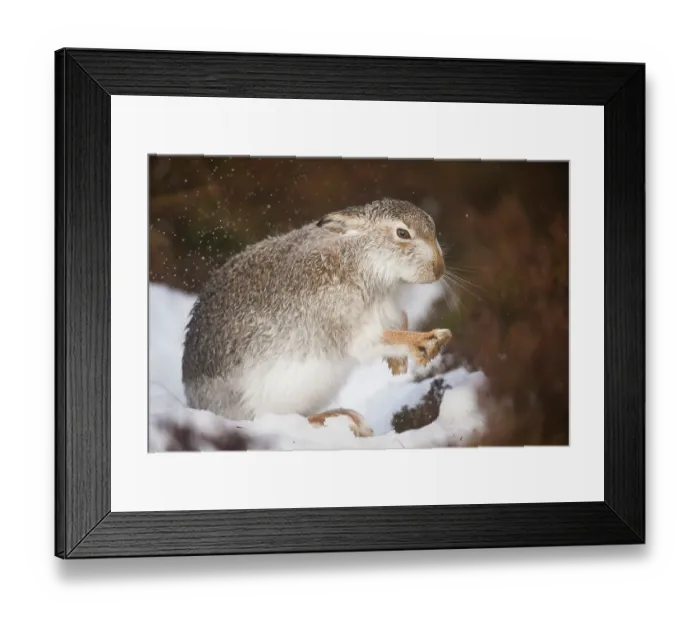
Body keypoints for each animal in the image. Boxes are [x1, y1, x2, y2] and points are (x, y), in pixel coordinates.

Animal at [181, 198, 452, 433]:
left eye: (432, 226)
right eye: (402, 234)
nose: (439, 268)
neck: (362, 259)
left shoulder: (388, 309)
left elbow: (401, 321)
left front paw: (399, 365)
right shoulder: (343, 322)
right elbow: (382, 340)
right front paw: (428, 342)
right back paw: (346, 419)